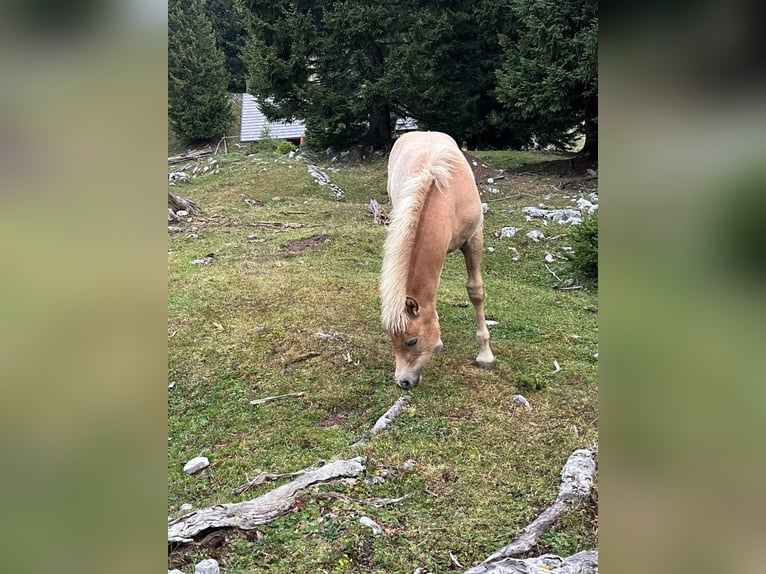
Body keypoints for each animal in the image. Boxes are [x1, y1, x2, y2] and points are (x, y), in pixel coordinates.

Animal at [380, 131, 495, 389]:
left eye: (412, 341)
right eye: (392, 339)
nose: (402, 382)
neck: (446, 194)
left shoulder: (474, 239)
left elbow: (476, 291)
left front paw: (485, 356)